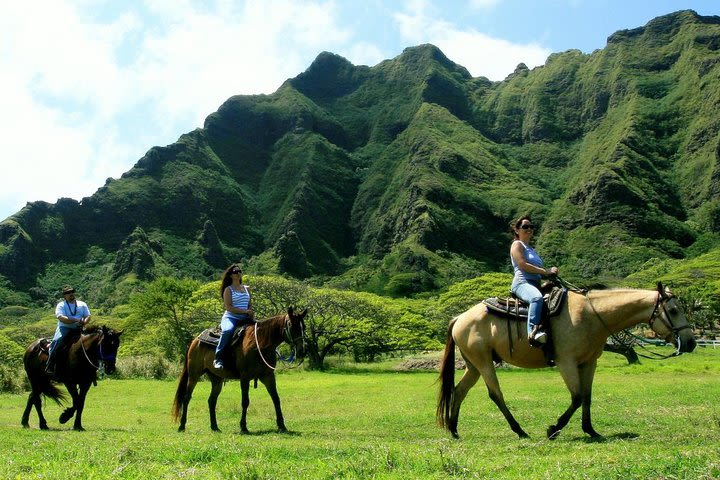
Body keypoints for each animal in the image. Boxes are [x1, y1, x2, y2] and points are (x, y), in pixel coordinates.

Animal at [175, 308, 310, 436]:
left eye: (304, 327)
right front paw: (243, 427)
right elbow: (245, 402)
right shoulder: (245, 378)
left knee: (211, 401)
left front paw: (282, 425)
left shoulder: (268, 376)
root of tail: (195, 340)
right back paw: (182, 426)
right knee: (187, 398)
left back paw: (215, 427)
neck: (260, 343)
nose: (302, 350)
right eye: (292, 325)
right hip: (194, 375)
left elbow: (276, 399)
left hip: (216, 379)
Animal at [436, 284, 696, 440]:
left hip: (474, 365)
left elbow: (587, 397)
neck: (592, 315)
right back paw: (520, 431)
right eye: (673, 310)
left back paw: (454, 429)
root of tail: (460, 317)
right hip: (484, 363)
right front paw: (554, 429)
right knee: (495, 394)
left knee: (459, 391)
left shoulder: (589, 363)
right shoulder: (566, 362)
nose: (691, 342)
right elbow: (577, 397)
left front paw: (591, 430)